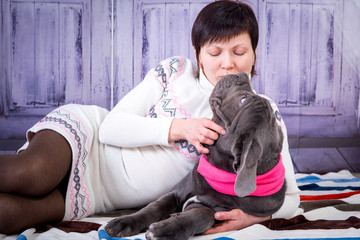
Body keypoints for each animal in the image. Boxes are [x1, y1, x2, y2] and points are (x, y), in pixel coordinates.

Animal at [105, 73, 286, 240]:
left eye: (243, 100)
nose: (241, 74)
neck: (219, 169)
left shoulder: (217, 211)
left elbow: (201, 216)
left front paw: (165, 230)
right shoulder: (176, 193)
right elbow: (153, 207)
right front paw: (124, 222)